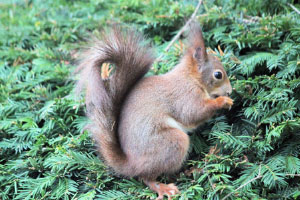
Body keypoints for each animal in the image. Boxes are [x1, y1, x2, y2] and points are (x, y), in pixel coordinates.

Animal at [76, 24, 233, 199]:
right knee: (146, 177)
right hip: (172, 143)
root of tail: (132, 163)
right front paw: (222, 101)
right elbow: (193, 113)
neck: (191, 78)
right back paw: (164, 188)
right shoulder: (186, 95)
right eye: (218, 75)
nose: (230, 91)